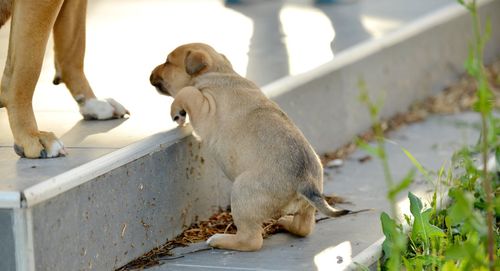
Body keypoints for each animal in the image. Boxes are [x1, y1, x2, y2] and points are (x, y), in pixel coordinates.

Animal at [150, 43, 350, 253]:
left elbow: (187, 92)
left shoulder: (204, 106)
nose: (150, 73)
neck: (219, 71)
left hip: (242, 194)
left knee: (251, 240)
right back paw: (285, 222)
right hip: (306, 206)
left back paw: (220, 240)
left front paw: (177, 113)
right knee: (303, 227)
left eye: (167, 62)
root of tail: (305, 182)